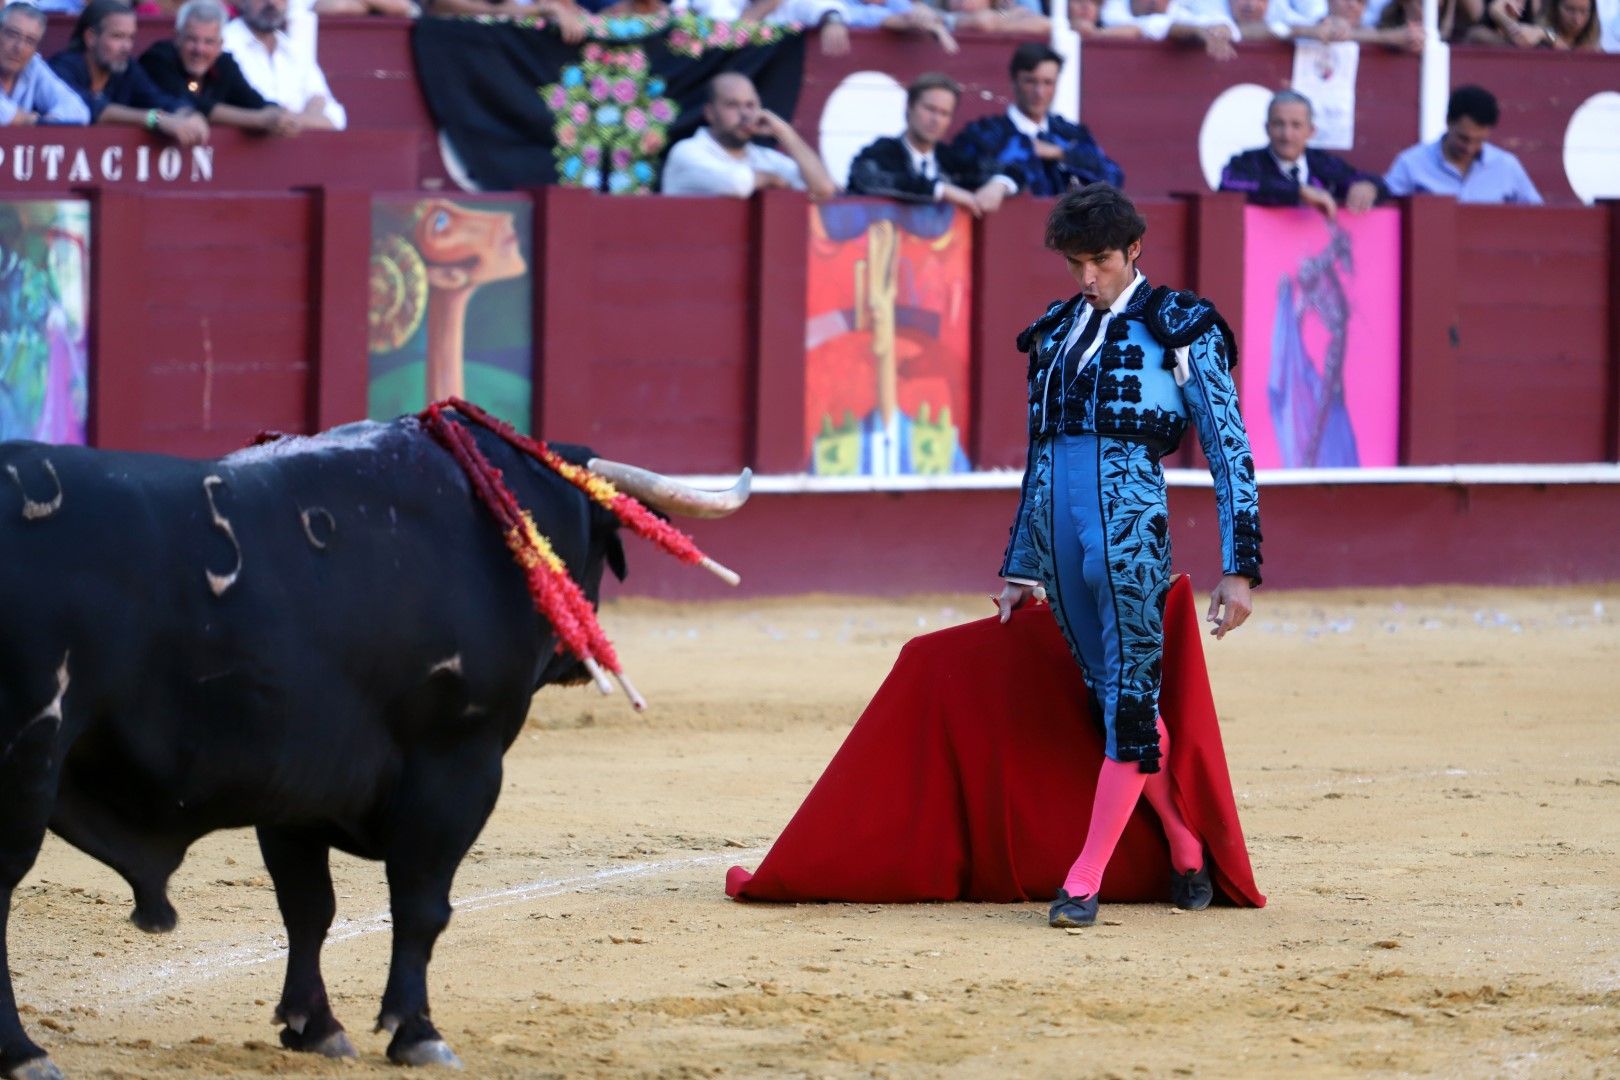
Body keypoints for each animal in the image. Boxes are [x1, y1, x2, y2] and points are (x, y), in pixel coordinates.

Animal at [0, 417, 735, 1075]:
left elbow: (307, 909)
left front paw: (315, 1027)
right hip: (27, 763)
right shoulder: (457, 765)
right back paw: (24, 1053)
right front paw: (418, 1033)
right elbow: (421, 904)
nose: (584, 654)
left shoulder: (292, 790)